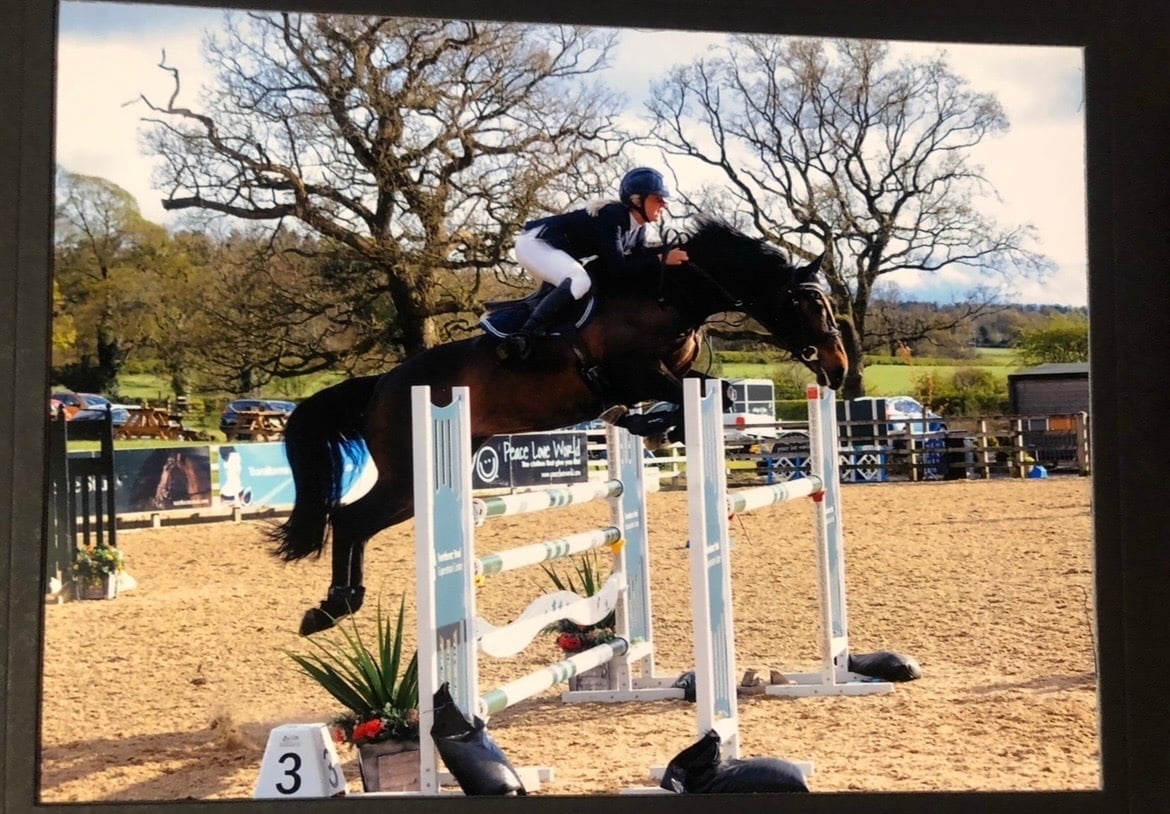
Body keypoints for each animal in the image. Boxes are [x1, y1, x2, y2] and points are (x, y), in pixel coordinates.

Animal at [268, 215, 848, 635]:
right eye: (806, 302)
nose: (838, 369)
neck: (670, 294)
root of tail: (382, 384)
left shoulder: (668, 376)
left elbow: (714, 392)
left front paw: (653, 427)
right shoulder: (633, 374)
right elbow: (701, 394)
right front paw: (655, 425)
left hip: (424, 479)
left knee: (356, 522)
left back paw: (336, 607)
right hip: (408, 474)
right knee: (349, 519)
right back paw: (330, 609)